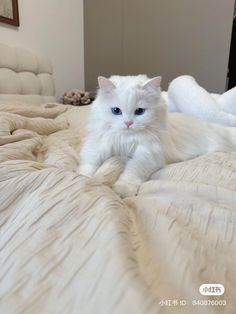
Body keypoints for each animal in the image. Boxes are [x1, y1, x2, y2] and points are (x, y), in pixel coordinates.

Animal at [78, 75, 236, 196]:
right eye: (116, 111)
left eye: (139, 111)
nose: (128, 123)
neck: (125, 140)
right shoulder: (98, 146)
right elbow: (89, 164)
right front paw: (82, 178)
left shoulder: (146, 155)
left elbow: (132, 172)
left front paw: (122, 189)